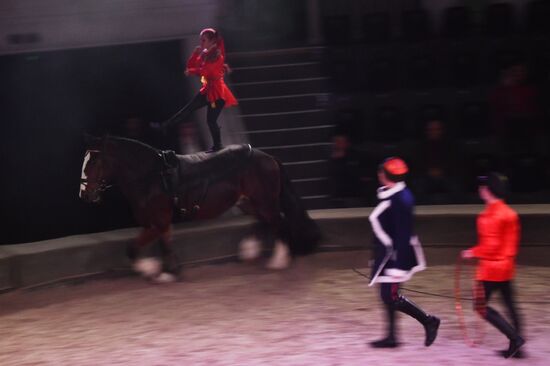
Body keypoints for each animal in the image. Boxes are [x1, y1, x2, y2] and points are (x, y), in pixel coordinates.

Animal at [81, 136, 324, 282]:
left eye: (94, 162)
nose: (84, 194)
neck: (151, 177)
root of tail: (268, 157)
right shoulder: (157, 223)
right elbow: (153, 245)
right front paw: (167, 271)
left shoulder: (158, 221)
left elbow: (135, 247)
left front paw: (155, 270)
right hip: (249, 201)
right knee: (264, 221)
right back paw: (249, 250)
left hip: (264, 200)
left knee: (278, 222)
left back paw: (278, 261)